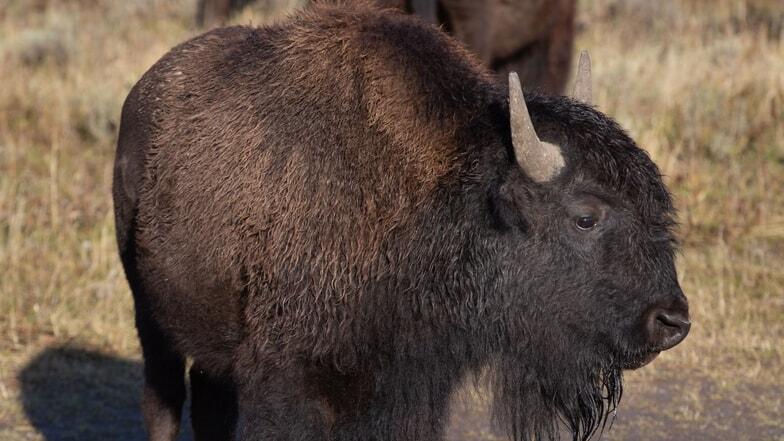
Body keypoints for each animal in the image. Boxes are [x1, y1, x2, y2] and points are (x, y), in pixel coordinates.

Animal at [114, 2, 689, 441]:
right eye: (585, 217)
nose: (673, 321)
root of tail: (143, 93)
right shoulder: (286, 384)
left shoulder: (413, 387)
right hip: (150, 316)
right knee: (163, 403)